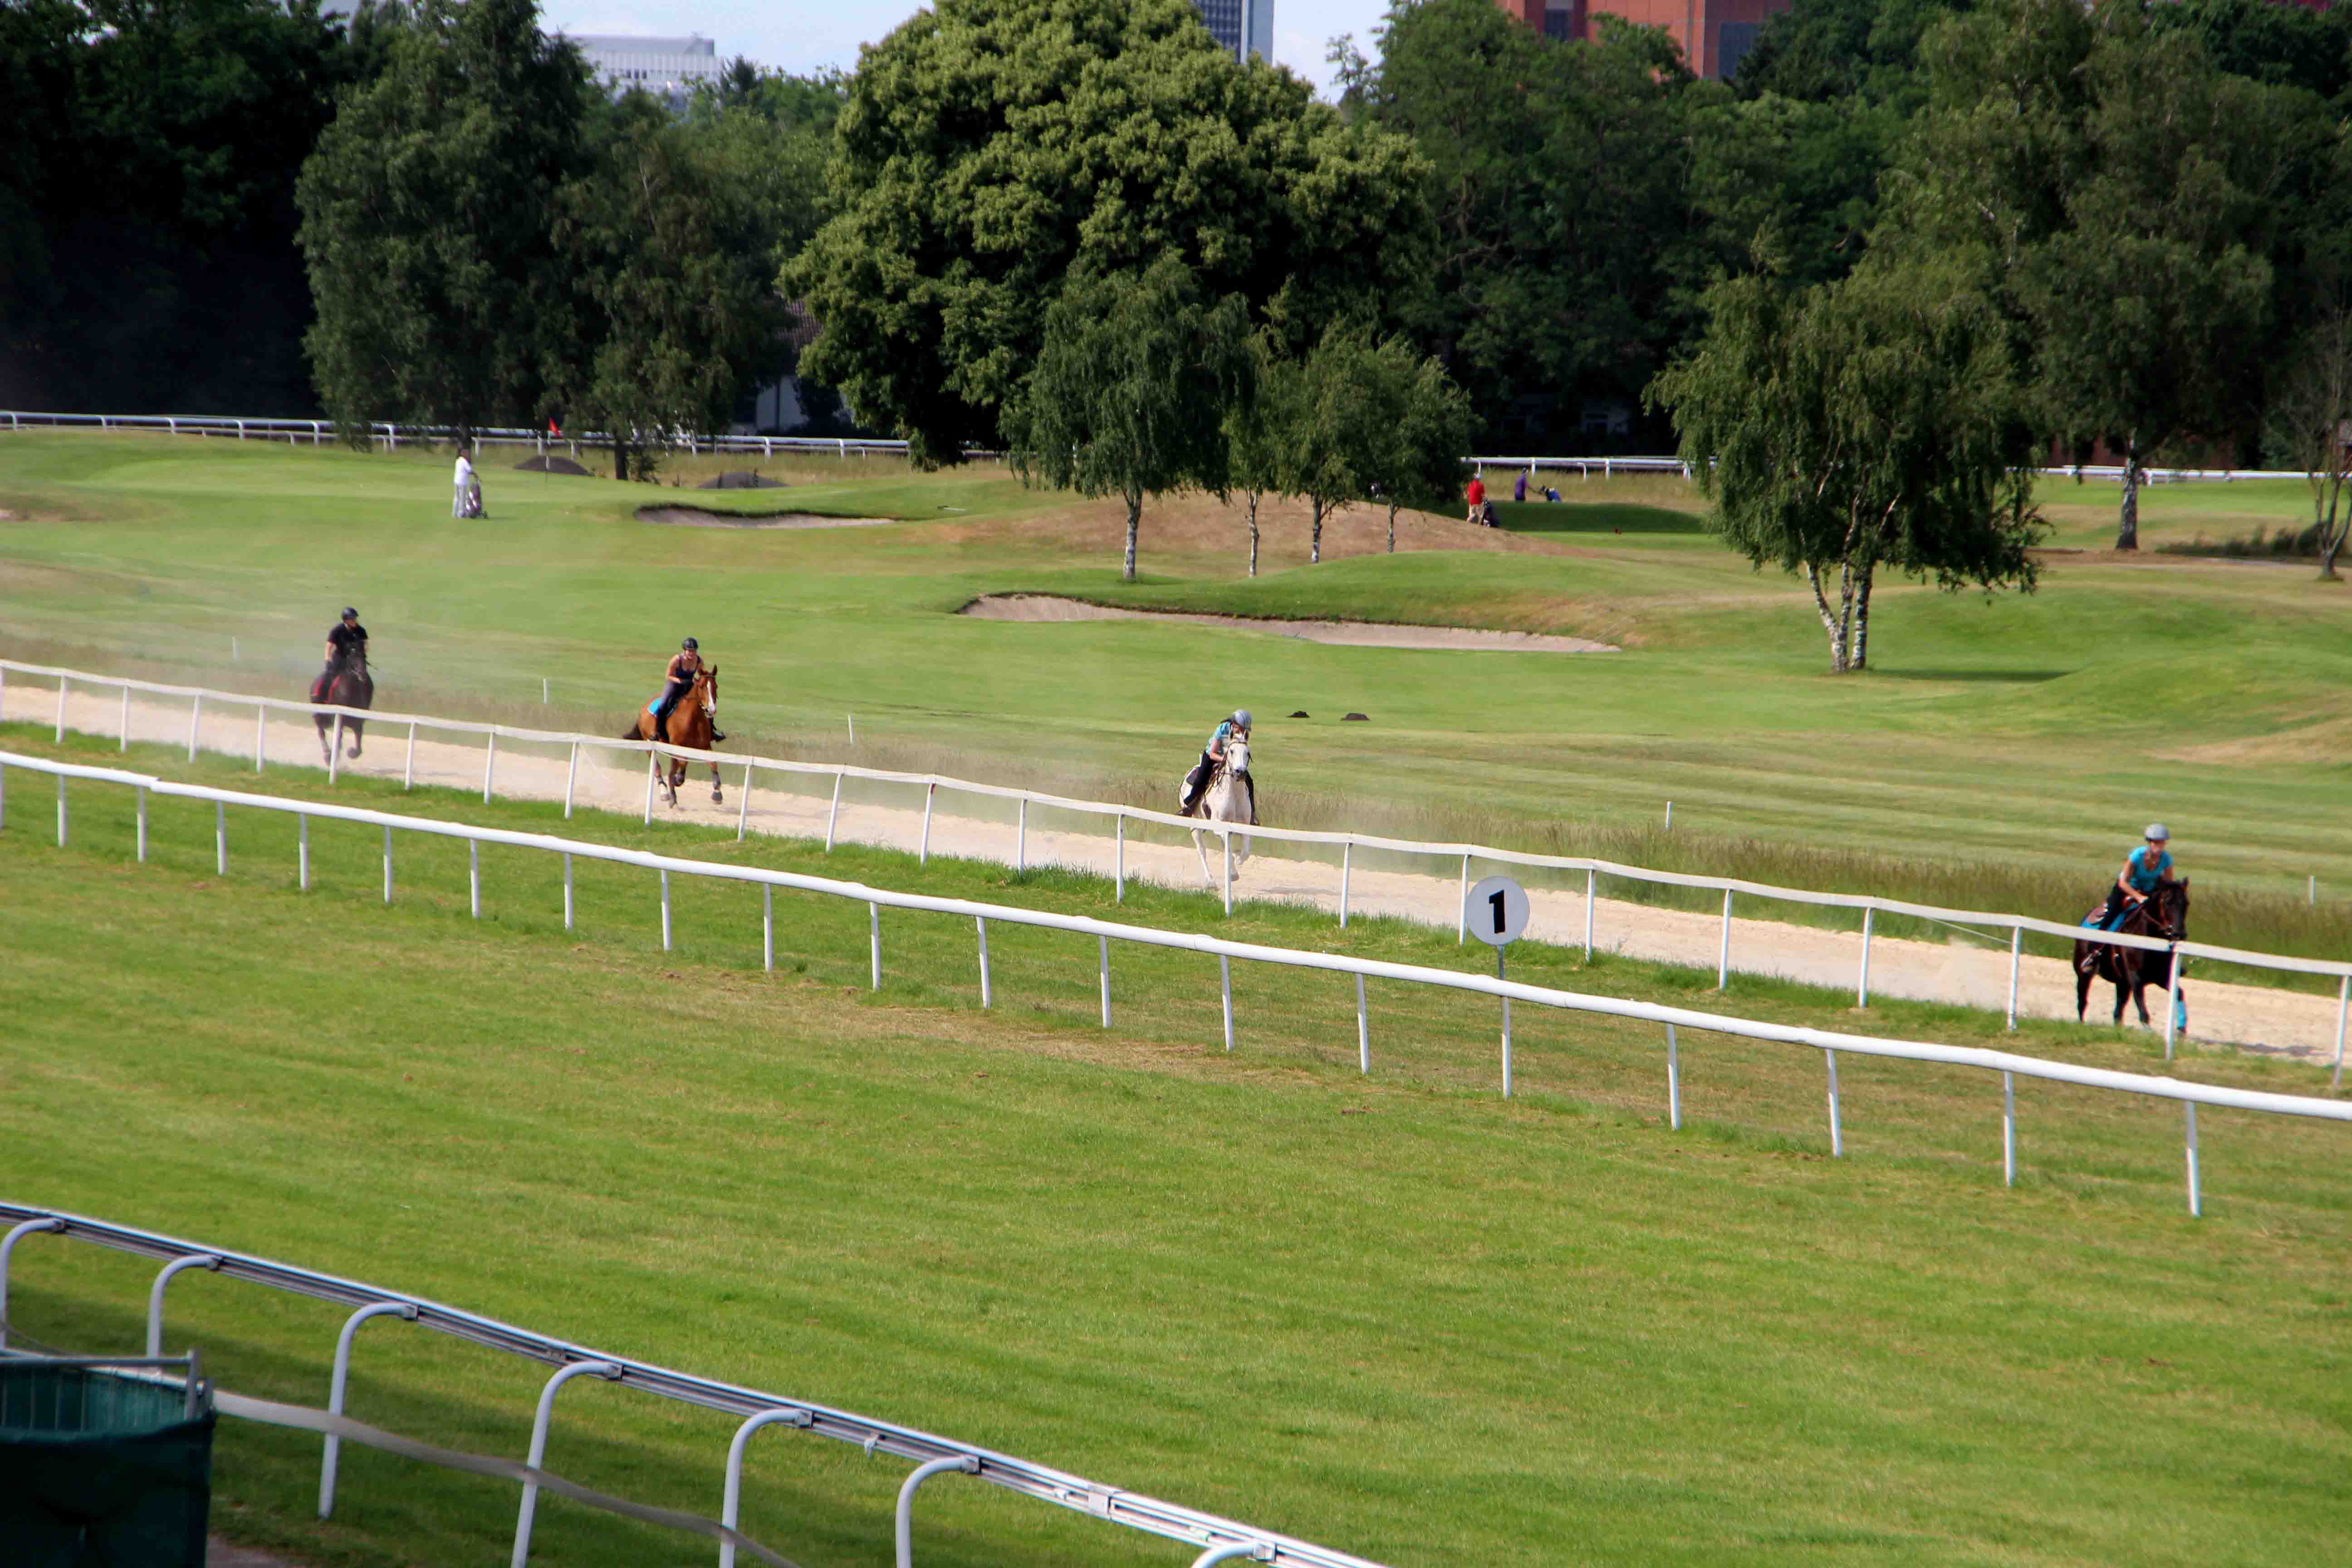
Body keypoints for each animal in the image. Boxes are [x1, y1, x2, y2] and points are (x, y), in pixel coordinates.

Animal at [313, 649, 372, 766]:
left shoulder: (358, 723)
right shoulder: (338, 718)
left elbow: (358, 743)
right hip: (319, 715)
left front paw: (352, 753)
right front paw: (331, 756)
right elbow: (338, 738)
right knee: (321, 733)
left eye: (365, 657)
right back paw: (327, 755)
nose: (362, 674)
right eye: (352, 657)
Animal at [621, 667, 720, 808]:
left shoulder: (704, 746)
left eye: (716, 686)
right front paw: (678, 780)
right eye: (701, 686)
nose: (711, 709)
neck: (693, 718)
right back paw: (665, 793)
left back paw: (673, 798)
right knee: (658, 768)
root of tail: (644, 707)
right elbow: (681, 767)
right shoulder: (677, 746)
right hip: (649, 743)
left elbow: (713, 763)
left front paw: (717, 794)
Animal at [1185, 738, 1260, 888]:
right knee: (1202, 851)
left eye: (1248, 753)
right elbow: (1228, 850)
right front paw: (1233, 870)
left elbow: (1245, 851)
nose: (1240, 772)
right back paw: (1210, 881)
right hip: (1195, 827)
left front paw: (1238, 863)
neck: (1234, 795)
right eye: (1231, 751)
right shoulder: (1218, 824)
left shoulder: (1244, 824)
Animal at [2079, 870, 2182, 1029]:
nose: (2179, 934)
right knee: (2082, 1002)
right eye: (2167, 902)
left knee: (2118, 1012)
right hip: (2084, 974)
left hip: (2122, 983)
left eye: (2186, 903)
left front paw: (2182, 1029)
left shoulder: (2161, 977)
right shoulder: (2136, 978)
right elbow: (2143, 1011)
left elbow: (2179, 994)